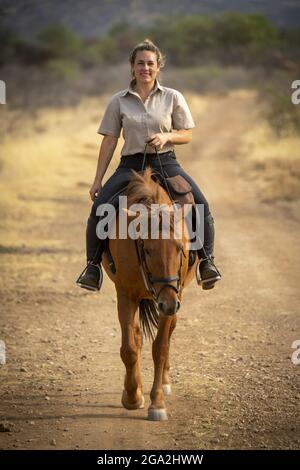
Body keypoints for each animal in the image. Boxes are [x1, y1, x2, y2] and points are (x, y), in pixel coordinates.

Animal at [102, 167, 198, 420]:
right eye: (147, 249)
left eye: (180, 248)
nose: (167, 304)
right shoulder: (126, 295)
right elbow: (129, 348)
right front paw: (132, 396)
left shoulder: (172, 297)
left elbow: (160, 347)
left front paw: (157, 404)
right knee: (136, 336)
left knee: (170, 332)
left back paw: (164, 382)